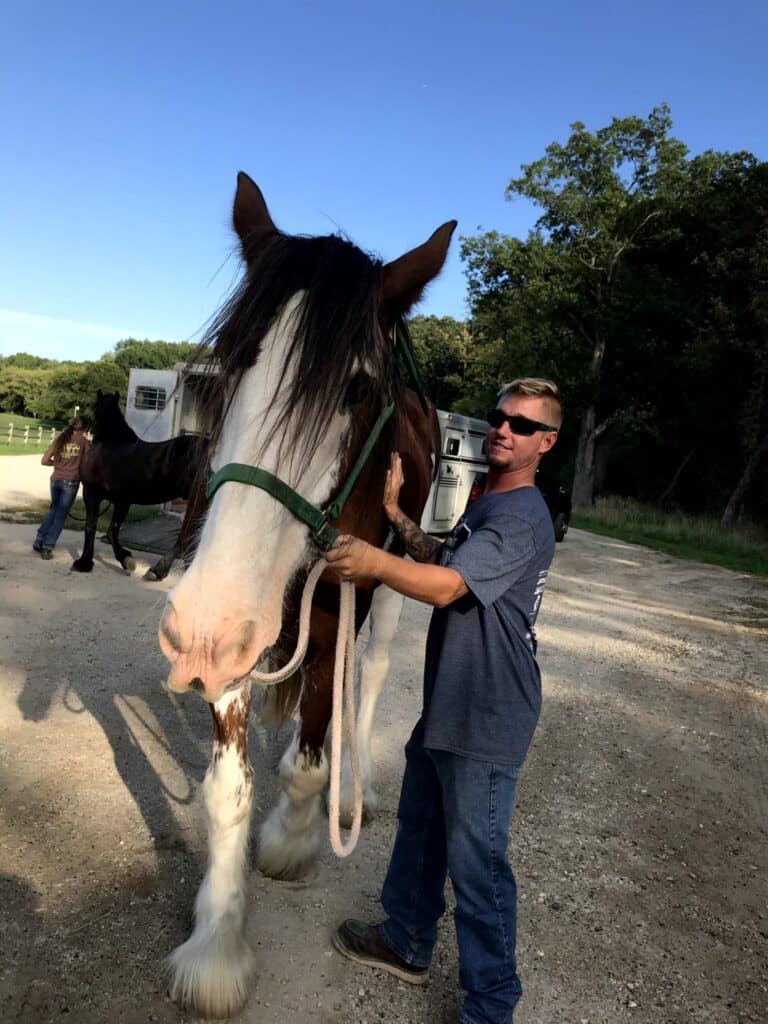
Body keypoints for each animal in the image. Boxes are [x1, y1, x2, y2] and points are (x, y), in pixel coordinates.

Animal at [73, 390, 207, 580]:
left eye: (93, 408)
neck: (109, 446)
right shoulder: (113, 500)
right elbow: (100, 528)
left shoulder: (100, 496)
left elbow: (102, 529)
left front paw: (119, 560)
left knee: (187, 536)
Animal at [157, 172, 455, 1017]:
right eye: (229, 366)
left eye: (354, 390)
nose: (200, 621)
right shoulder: (230, 636)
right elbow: (229, 787)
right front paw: (218, 945)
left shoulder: (332, 615)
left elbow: (313, 754)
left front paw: (290, 839)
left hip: (392, 590)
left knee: (369, 684)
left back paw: (357, 788)